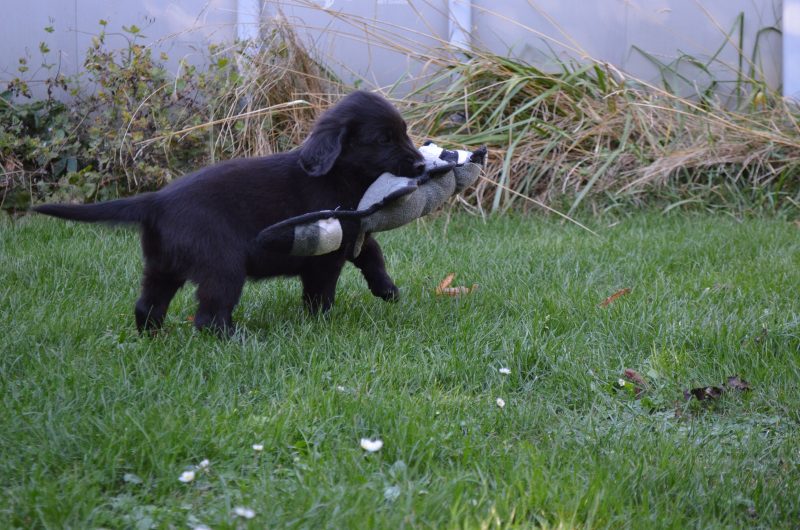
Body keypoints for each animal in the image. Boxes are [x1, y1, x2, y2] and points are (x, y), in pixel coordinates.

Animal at [33, 90, 425, 334]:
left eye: (403, 132)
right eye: (384, 140)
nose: (422, 164)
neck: (339, 174)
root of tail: (156, 201)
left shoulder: (354, 233)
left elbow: (373, 253)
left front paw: (387, 290)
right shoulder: (325, 253)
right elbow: (321, 292)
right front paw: (321, 323)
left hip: (162, 264)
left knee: (148, 306)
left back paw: (152, 339)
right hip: (222, 264)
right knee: (209, 316)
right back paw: (242, 341)